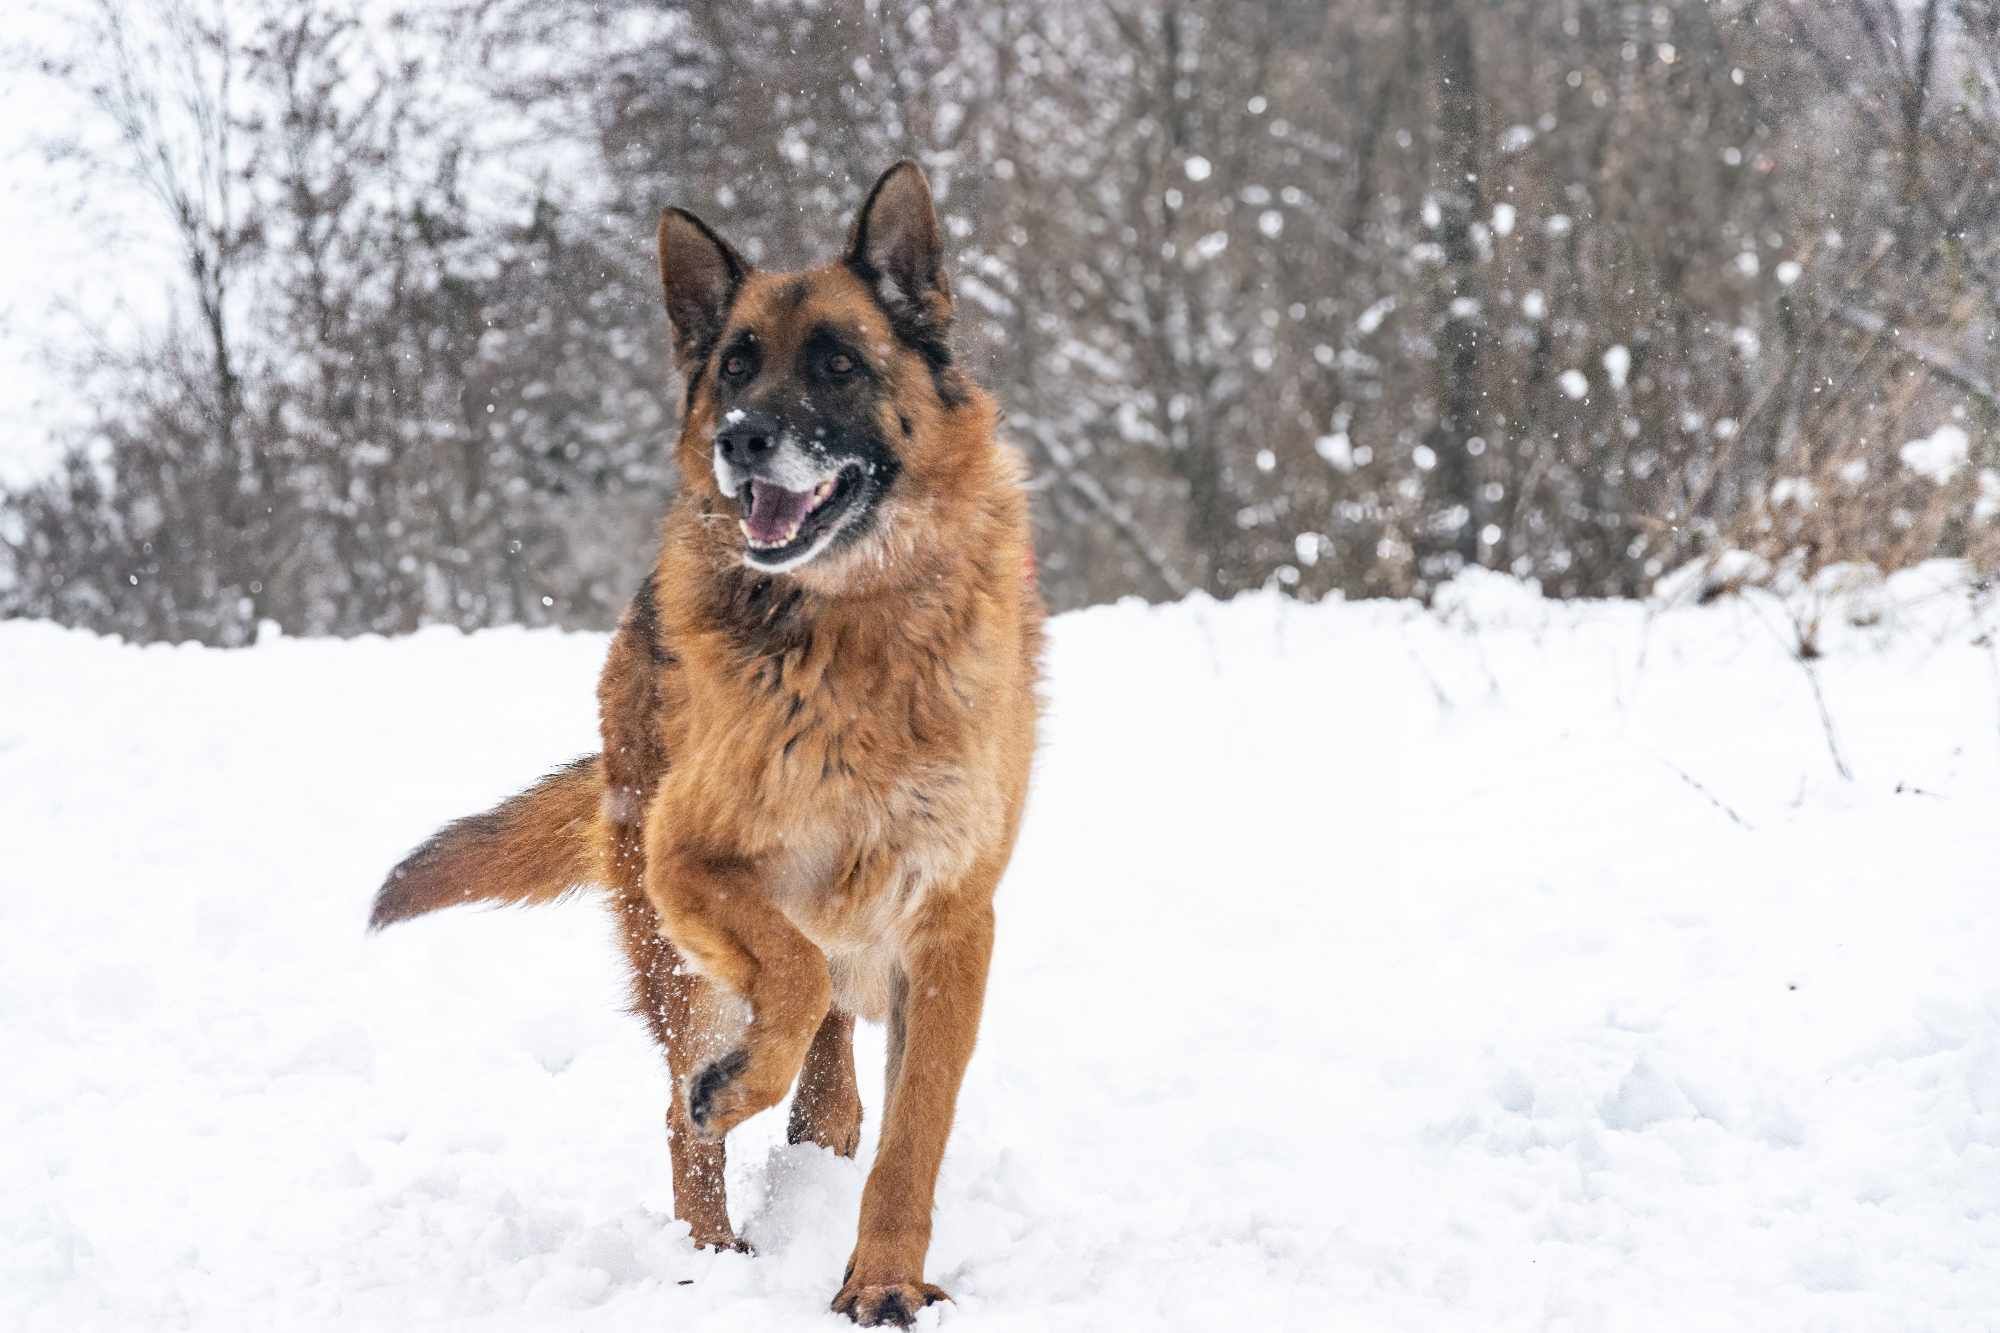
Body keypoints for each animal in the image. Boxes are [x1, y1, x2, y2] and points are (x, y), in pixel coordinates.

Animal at [370, 158, 1048, 1320]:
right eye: (736, 365)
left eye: (836, 365)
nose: (738, 437)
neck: (856, 624)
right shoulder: (689, 859)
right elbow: (795, 977)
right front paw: (739, 1100)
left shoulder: (951, 923)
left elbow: (915, 1125)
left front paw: (884, 1275)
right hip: (676, 957)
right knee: (698, 1100)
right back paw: (712, 1250)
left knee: (833, 1065)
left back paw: (815, 1133)